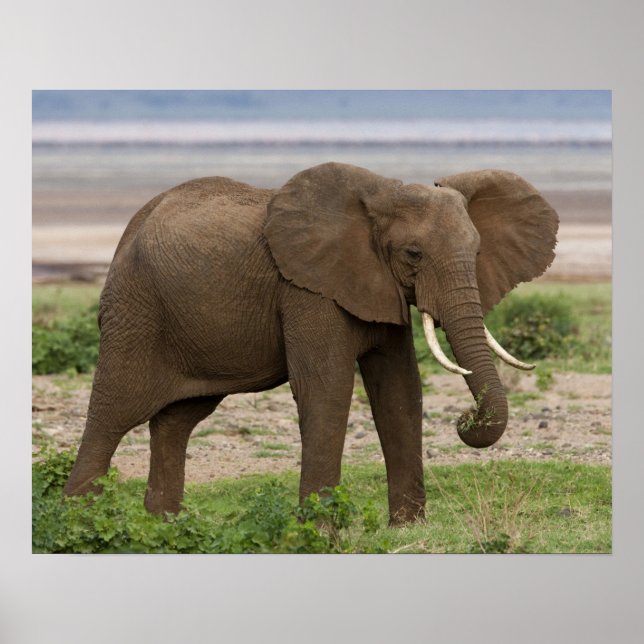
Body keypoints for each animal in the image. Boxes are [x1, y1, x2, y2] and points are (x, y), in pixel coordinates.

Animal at [64, 162, 558, 524]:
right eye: (413, 254)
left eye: (477, 253)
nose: (465, 418)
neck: (383, 194)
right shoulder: (306, 290)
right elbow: (327, 388)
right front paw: (320, 533)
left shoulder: (376, 287)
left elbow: (399, 391)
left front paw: (408, 529)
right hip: (135, 312)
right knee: (112, 414)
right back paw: (81, 525)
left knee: (176, 421)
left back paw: (164, 526)